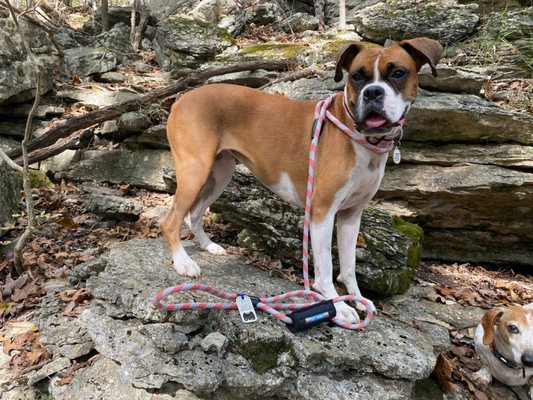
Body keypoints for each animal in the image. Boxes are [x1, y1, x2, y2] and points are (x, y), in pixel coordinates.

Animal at [160, 37, 442, 324]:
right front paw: (337, 306)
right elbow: (325, 269)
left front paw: (357, 297)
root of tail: (183, 99)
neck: (359, 137)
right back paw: (183, 263)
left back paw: (208, 246)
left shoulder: (351, 216)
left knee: (193, 214)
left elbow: (349, 266)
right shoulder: (321, 212)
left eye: (398, 73)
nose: (372, 93)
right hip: (195, 171)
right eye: (356, 76)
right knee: (170, 221)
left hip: (219, 174)